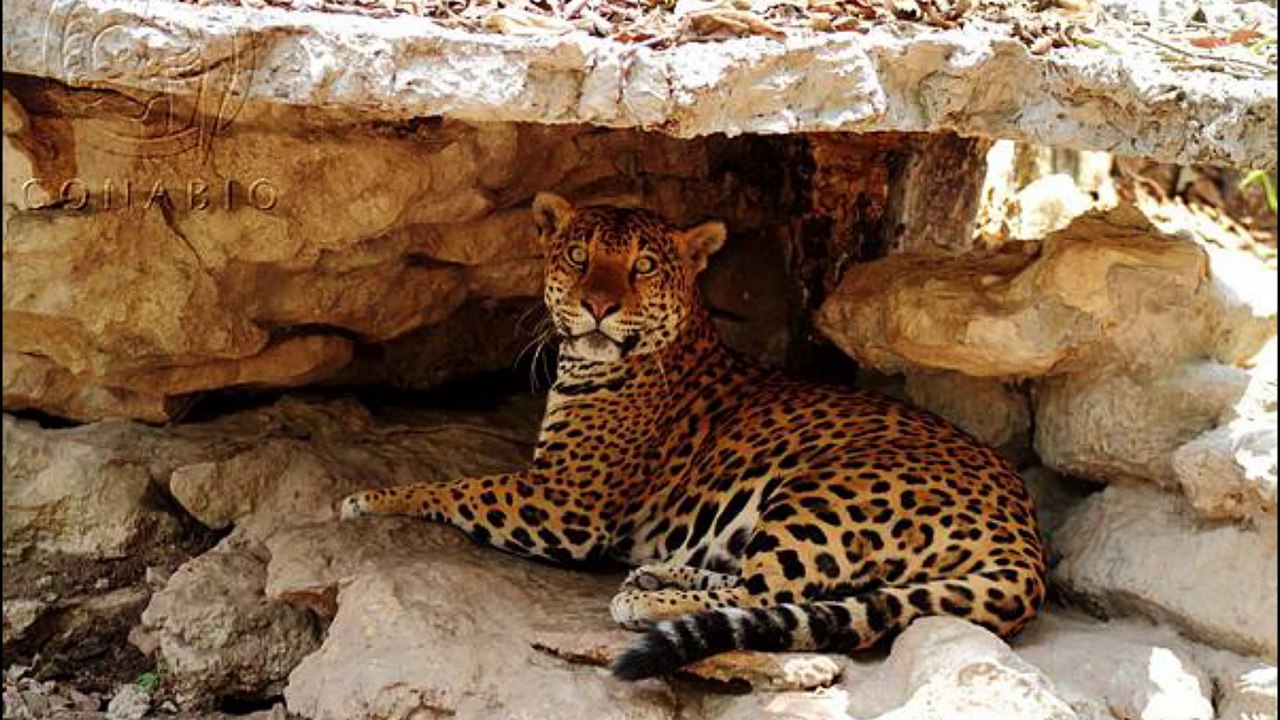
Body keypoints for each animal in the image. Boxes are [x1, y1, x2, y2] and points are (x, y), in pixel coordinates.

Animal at [339, 192, 1047, 682]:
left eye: (644, 266)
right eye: (578, 257)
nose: (598, 306)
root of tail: (1026, 541)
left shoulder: (567, 506)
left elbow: (460, 486)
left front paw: (371, 498)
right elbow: (465, 483)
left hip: (823, 486)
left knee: (773, 596)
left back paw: (645, 601)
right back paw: (657, 573)